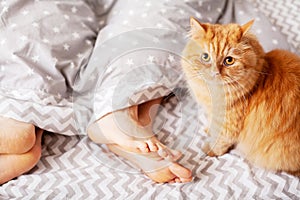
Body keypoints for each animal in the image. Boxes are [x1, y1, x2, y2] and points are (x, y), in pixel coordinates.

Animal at [182, 17, 298, 177]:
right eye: (205, 57)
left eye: (229, 60)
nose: (215, 72)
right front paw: (208, 129)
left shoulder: (228, 124)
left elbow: (220, 142)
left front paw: (210, 150)